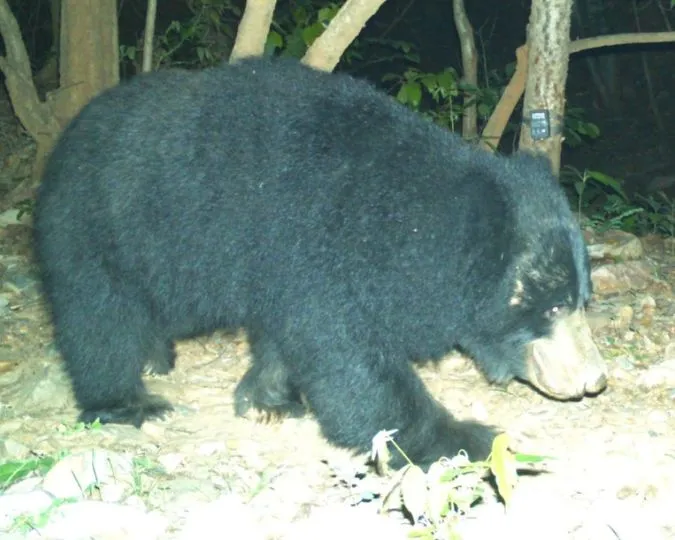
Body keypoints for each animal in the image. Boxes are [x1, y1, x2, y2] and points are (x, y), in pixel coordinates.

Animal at [33, 57, 607, 469]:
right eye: (552, 308)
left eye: (582, 301)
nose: (594, 379)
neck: (400, 220)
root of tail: (66, 137)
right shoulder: (314, 243)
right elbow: (348, 358)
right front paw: (464, 437)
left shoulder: (290, 267)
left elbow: (289, 339)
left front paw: (265, 399)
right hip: (96, 226)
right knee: (99, 317)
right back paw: (129, 402)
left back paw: (157, 357)